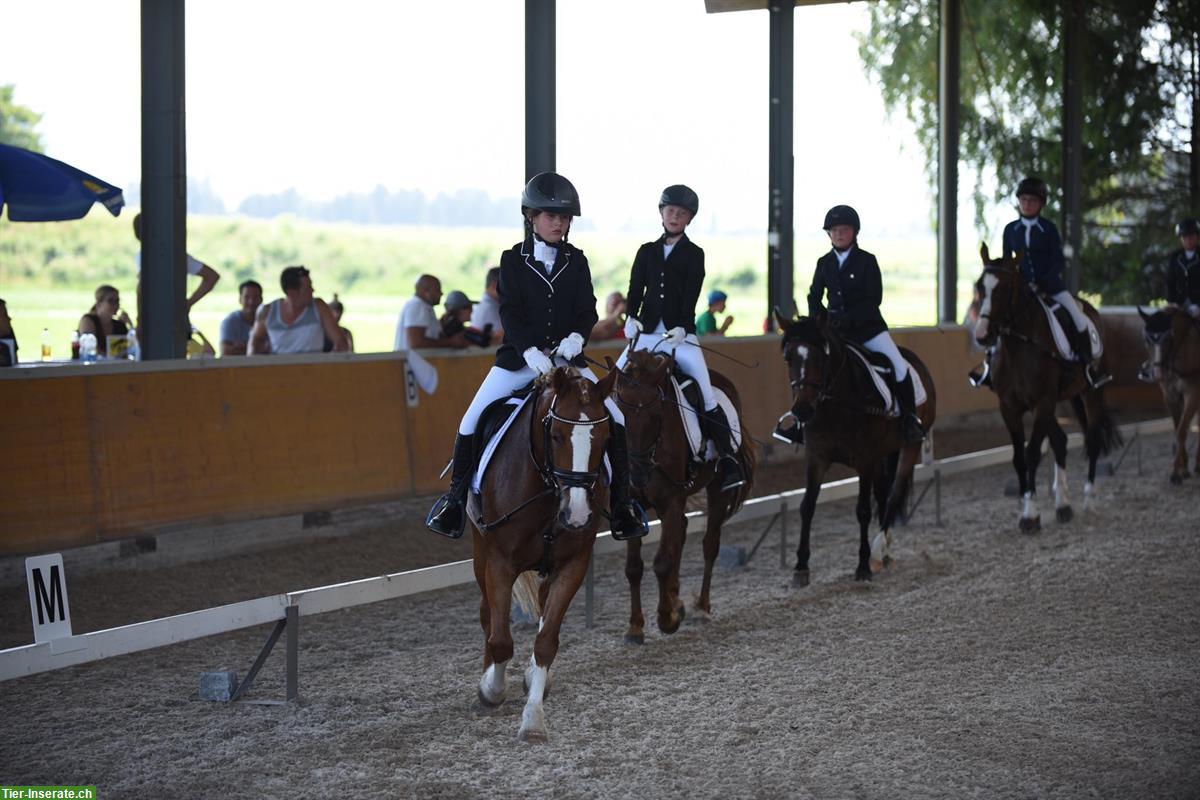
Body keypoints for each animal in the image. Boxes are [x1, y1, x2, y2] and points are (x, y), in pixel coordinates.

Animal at [465, 367, 619, 743]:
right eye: (557, 436)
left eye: (606, 436)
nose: (576, 515)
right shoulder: (499, 563)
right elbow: (501, 640)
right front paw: (491, 689)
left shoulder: (572, 565)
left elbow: (546, 640)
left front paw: (533, 718)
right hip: (480, 554)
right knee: (487, 614)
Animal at [614, 347, 753, 642]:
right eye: (618, 413)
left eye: (657, 414)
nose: (636, 476)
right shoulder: (635, 507)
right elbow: (634, 568)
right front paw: (635, 626)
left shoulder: (671, 501)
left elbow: (662, 562)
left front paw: (666, 619)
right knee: (680, 535)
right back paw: (676, 600)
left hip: (715, 488)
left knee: (709, 544)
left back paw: (700, 608)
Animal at [777, 309, 936, 585]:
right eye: (788, 357)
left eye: (821, 355)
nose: (802, 411)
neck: (837, 404)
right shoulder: (817, 458)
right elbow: (807, 506)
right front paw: (801, 567)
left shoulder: (865, 461)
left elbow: (862, 510)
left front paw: (862, 567)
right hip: (883, 455)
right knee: (883, 495)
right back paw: (884, 553)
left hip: (910, 447)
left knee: (893, 495)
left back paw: (878, 549)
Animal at [974, 244, 1123, 532]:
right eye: (979, 287)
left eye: (1004, 288)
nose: (982, 335)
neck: (1019, 345)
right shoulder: (1011, 407)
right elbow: (1019, 457)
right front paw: (1029, 505)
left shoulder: (1042, 401)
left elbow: (1032, 453)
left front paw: (1030, 515)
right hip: (1054, 403)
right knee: (1060, 441)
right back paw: (1063, 504)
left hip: (1090, 393)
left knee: (1092, 439)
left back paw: (1088, 501)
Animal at [1137, 307, 1195, 482]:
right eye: (1146, 340)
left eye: (1169, 338)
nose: (1158, 374)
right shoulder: (1170, 396)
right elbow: (1177, 429)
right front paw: (1183, 469)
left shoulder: (1193, 394)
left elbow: (1182, 431)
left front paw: (1176, 472)